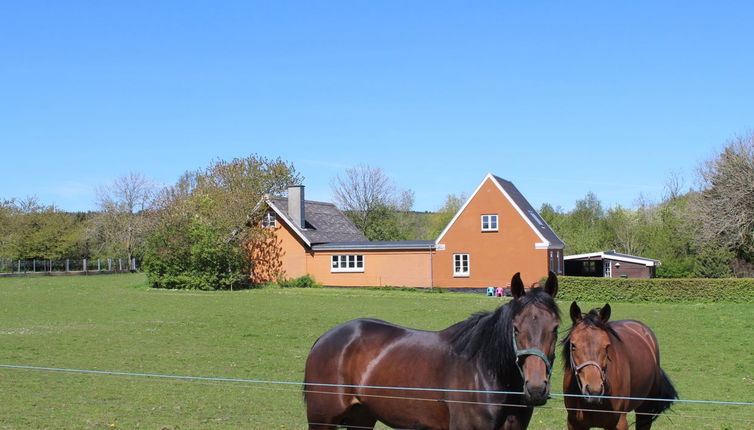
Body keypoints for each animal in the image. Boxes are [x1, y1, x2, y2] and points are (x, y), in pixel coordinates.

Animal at [304, 274, 560, 428]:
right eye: (515, 329)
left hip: (361, 418)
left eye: (556, 328)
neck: (485, 372)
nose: (536, 388)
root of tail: (325, 338)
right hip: (321, 420)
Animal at [560, 302, 680, 430]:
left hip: (644, 411)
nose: (594, 391)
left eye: (607, 346)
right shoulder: (574, 423)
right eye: (573, 345)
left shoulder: (619, 423)